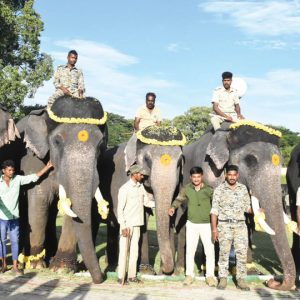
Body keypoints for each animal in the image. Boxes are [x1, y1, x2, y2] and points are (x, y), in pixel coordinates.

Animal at [16, 96, 108, 284]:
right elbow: (39, 199)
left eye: (100, 144)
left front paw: (61, 268)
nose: (101, 278)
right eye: (57, 141)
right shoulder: (32, 157)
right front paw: (37, 265)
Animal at [99, 125, 185, 276]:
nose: (164, 270)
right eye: (147, 159)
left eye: (180, 162)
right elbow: (142, 216)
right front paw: (146, 271)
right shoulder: (121, 177)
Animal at [180, 120, 296, 290]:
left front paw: (249, 271)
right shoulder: (209, 171)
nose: (272, 281)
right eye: (250, 160)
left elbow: (247, 222)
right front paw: (216, 270)